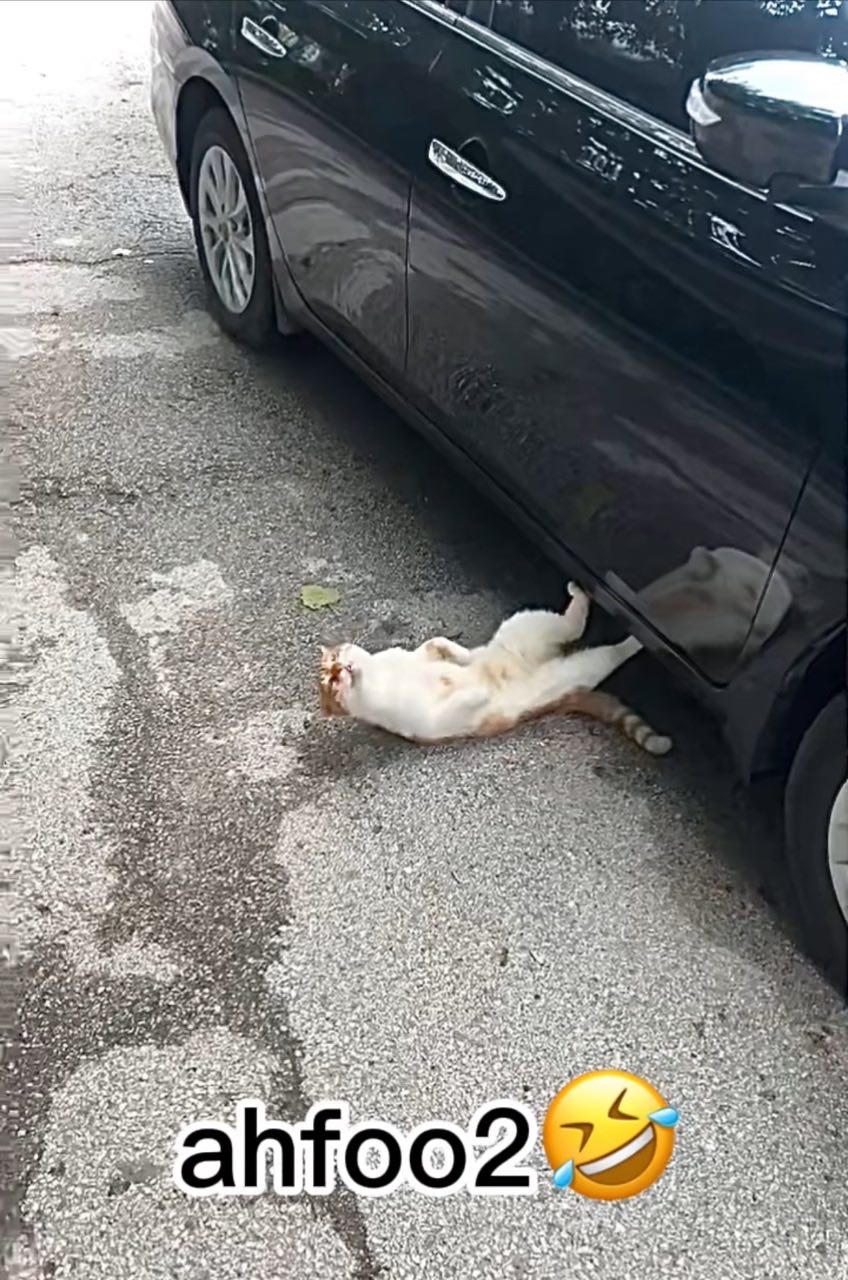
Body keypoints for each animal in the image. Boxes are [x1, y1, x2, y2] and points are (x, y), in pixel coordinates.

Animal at [317, 586, 671, 752]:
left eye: (335, 661)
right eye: (331, 683)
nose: (340, 669)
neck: (380, 674)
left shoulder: (417, 656)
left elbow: (437, 647)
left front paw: (454, 654)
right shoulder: (426, 722)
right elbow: (469, 700)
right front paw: (479, 694)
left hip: (524, 629)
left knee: (571, 625)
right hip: (578, 665)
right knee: (590, 638)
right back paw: (635, 640)